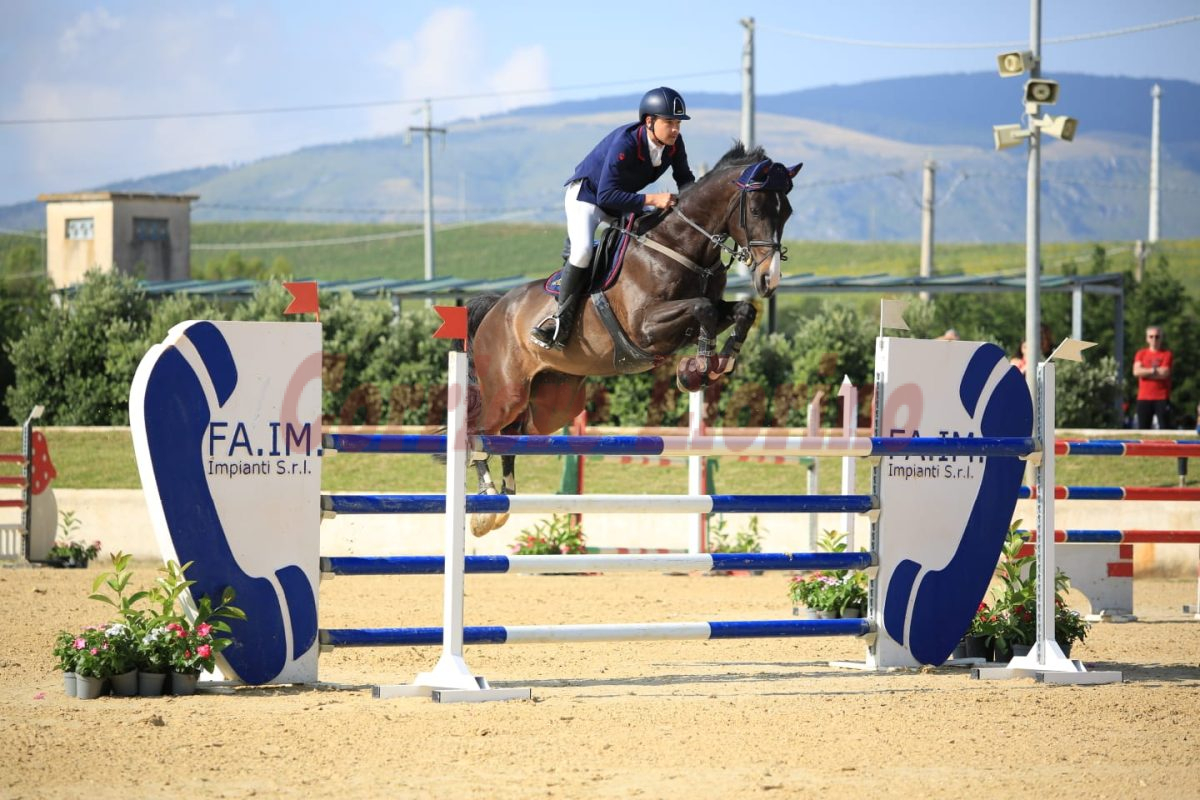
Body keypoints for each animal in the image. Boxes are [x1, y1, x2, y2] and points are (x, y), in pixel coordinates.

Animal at [463, 142, 801, 537]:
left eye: (787, 211)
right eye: (758, 209)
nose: (769, 280)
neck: (681, 246)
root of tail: (496, 308)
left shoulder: (705, 313)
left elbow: (740, 311)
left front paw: (718, 363)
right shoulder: (645, 327)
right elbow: (702, 308)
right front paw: (699, 368)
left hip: (553, 402)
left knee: (511, 438)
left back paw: (504, 497)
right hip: (507, 391)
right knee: (479, 431)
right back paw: (487, 504)